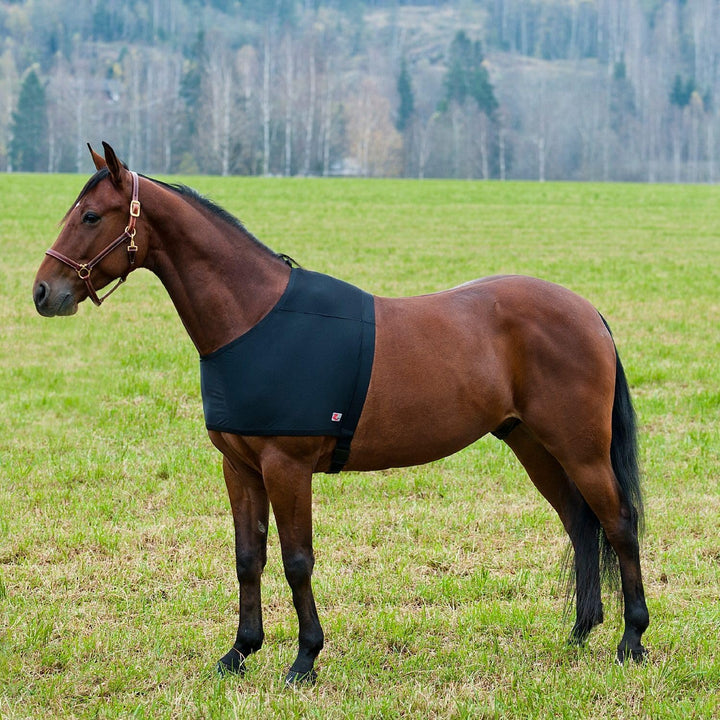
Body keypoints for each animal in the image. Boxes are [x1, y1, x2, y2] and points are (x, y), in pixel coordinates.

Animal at [33, 142, 649, 684]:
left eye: (92, 215)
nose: (43, 292)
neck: (254, 317)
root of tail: (588, 313)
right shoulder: (240, 467)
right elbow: (248, 557)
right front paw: (240, 651)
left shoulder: (287, 467)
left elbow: (296, 560)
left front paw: (304, 658)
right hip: (534, 446)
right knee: (579, 525)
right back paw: (580, 632)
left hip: (581, 450)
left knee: (618, 523)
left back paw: (632, 640)